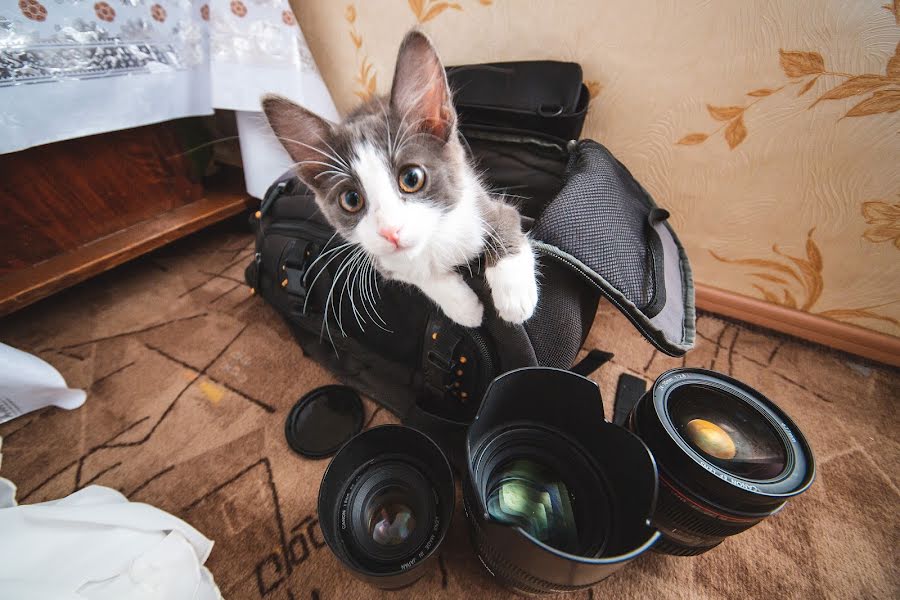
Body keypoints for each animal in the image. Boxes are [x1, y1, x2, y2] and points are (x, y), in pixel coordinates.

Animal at [264, 29, 536, 328]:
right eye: (351, 199)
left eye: (412, 178)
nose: (390, 231)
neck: (432, 241)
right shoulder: (381, 260)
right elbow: (414, 272)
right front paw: (464, 307)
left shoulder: (475, 199)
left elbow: (506, 218)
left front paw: (515, 296)